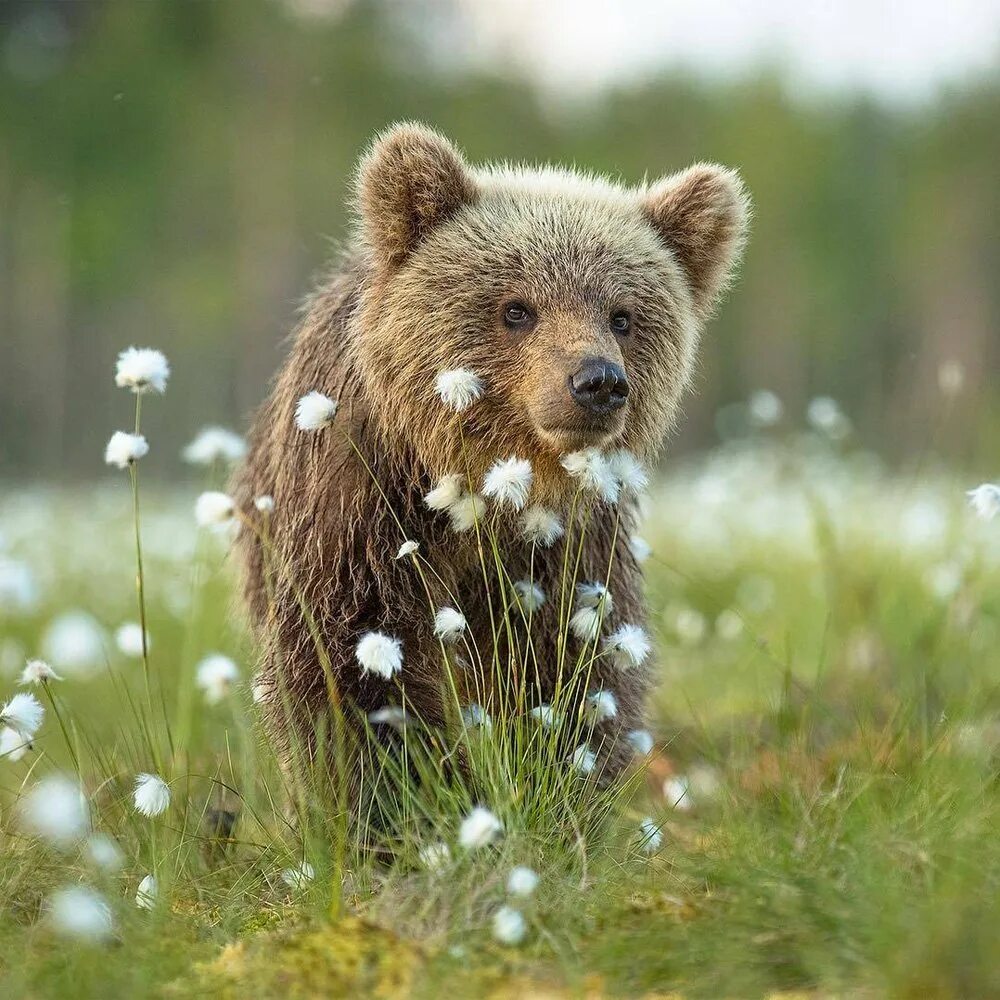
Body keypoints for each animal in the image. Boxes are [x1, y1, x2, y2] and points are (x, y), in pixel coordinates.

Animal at [232, 123, 752, 780]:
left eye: (622, 316)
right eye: (516, 309)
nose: (598, 381)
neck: (484, 489)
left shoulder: (566, 548)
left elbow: (571, 669)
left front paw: (556, 779)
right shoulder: (360, 510)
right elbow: (350, 662)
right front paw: (403, 789)